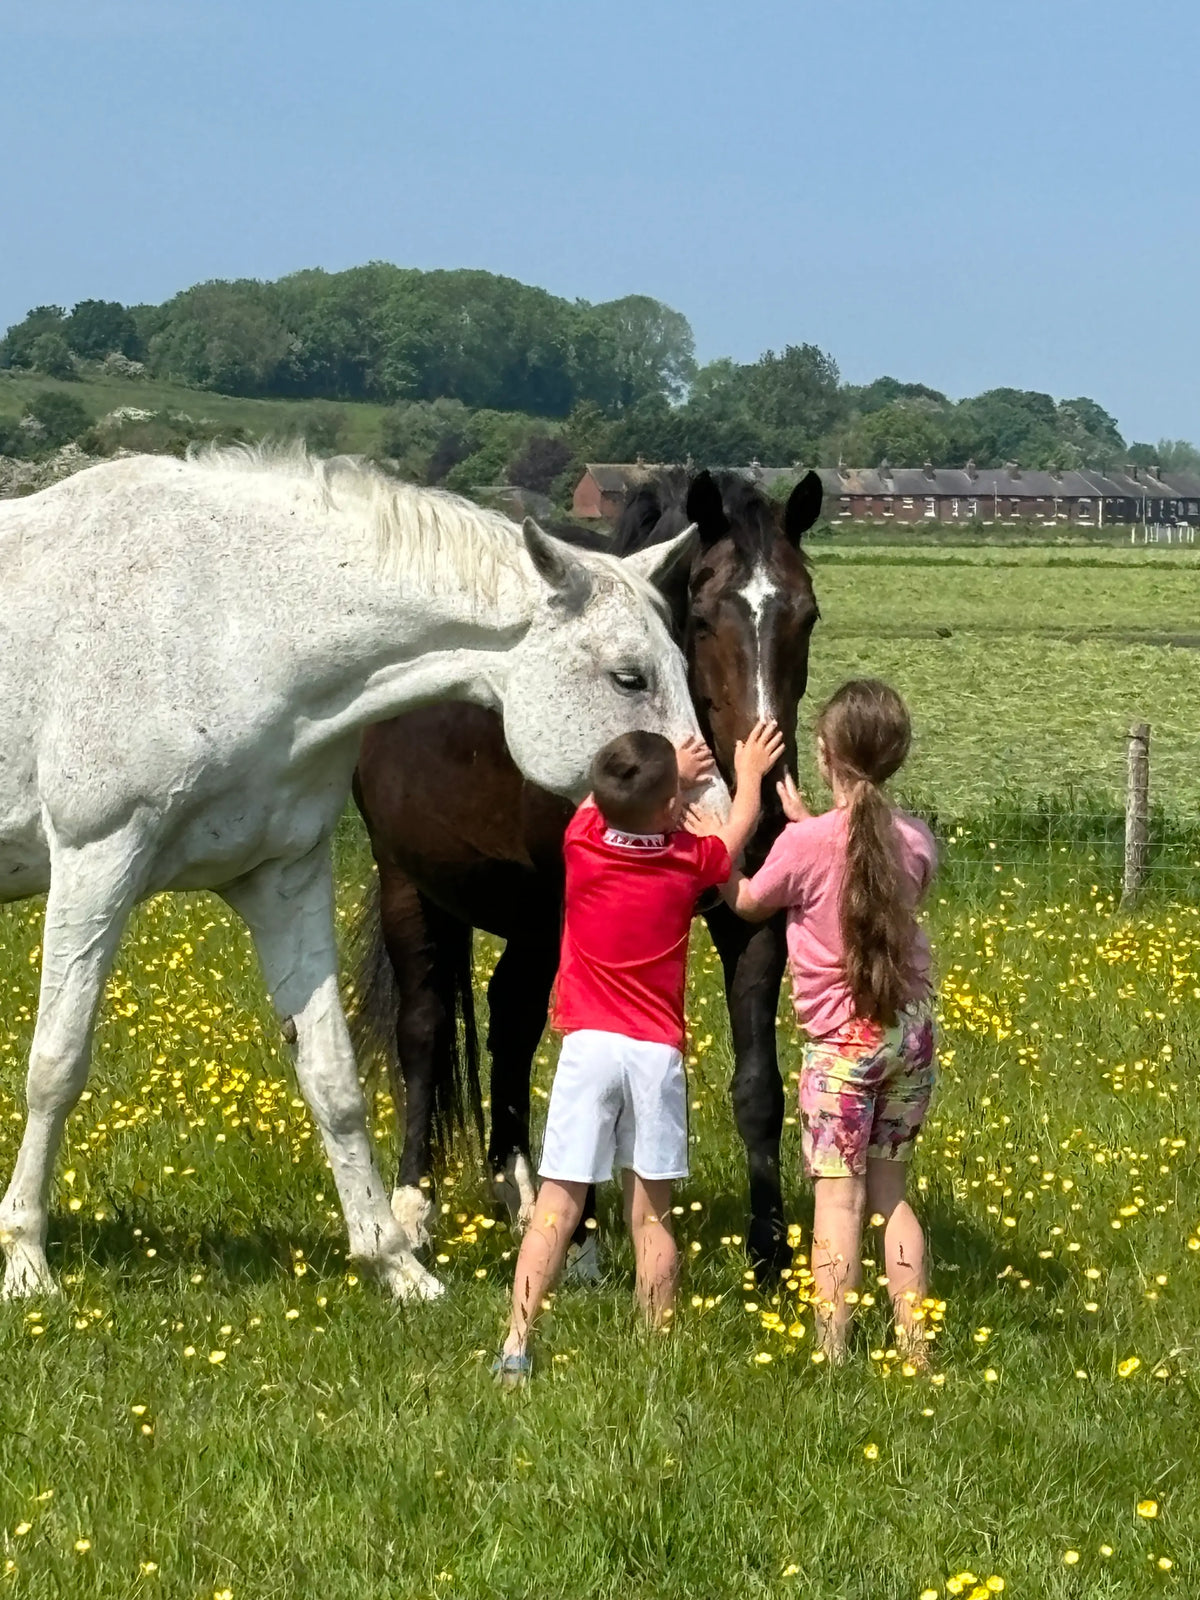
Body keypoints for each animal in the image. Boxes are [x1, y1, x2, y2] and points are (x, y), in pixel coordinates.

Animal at [0, 444, 727, 1304]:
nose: (720, 827)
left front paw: (395, 1262)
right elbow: (56, 1065)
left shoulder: (282, 878)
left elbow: (333, 1080)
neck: (222, 621)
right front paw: (26, 1260)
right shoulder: (97, 861)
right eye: (628, 678)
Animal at [351, 467, 822, 1283]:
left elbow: (760, 1087)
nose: (763, 800)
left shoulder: (749, 922)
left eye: (809, 616)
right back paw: (416, 1208)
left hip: (528, 919)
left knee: (508, 1019)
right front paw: (582, 1245)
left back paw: (517, 1190)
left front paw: (772, 1258)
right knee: (425, 1029)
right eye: (702, 620)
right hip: (411, 885)